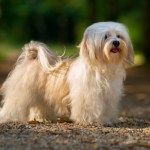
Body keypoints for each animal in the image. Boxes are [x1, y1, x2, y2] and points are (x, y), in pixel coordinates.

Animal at [0, 21, 134, 125]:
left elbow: (107, 109)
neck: (102, 66)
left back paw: (43, 118)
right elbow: (89, 109)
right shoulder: (88, 96)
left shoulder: (109, 95)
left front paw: (105, 120)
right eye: (106, 36)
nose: (116, 42)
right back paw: (6, 118)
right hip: (21, 93)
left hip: (40, 96)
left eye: (119, 36)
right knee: (12, 106)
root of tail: (32, 56)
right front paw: (90, 121)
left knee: (40, 106)